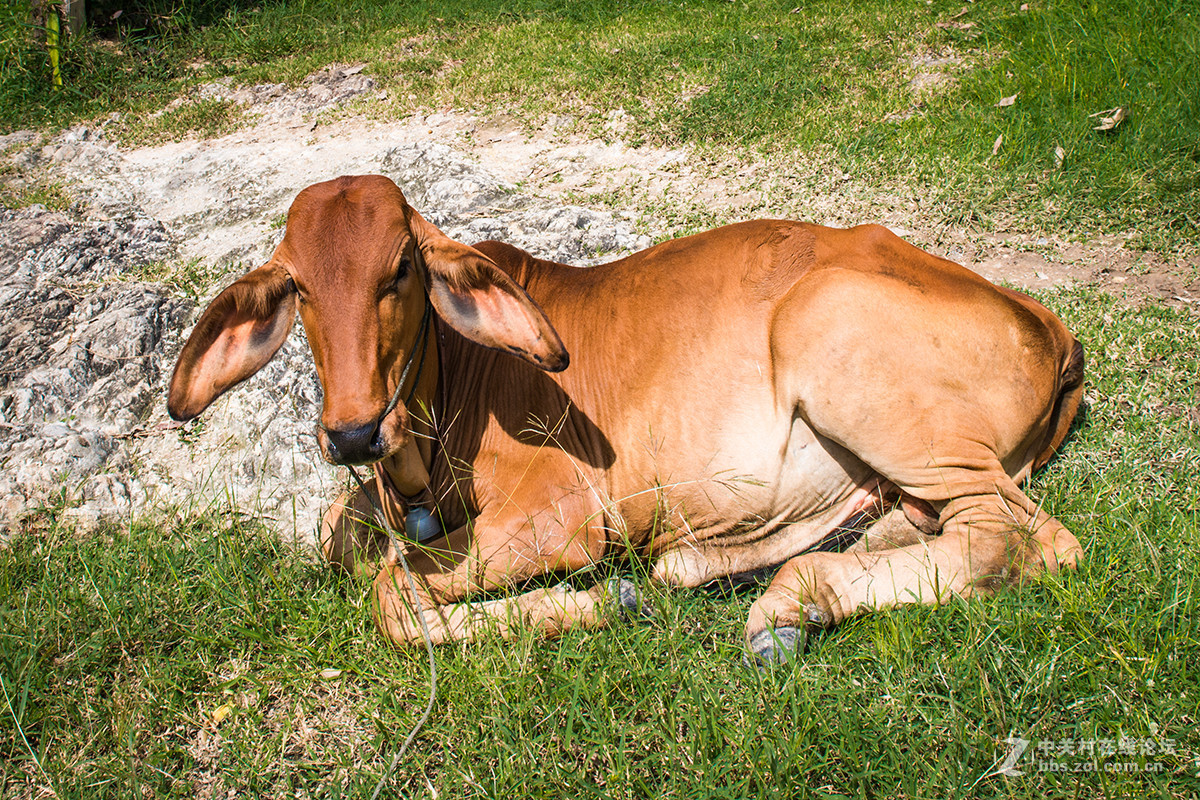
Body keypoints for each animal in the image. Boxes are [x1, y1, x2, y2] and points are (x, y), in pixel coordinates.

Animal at [171, 175, 1089, 662]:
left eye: (399, 268)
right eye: (297, 286)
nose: (353, 432)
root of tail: (1048, 321)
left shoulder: (561, 518)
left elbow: (394, 593)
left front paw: (597, 603)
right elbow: (343, 534)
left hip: (856, 360)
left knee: (1022, 541)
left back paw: (791, 602)